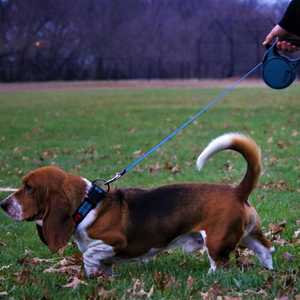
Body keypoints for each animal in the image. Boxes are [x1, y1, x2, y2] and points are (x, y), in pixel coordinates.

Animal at [0, 134, 274, 276]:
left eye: (28, 187)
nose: (3, 203)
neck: (87, 205)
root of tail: (237, 191)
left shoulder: (112, 241)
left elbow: (88, 255)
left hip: (216, 242)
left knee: (222, 266)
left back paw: (209, 280)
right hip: (249, 235)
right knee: (266, 249)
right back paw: (269, 271)